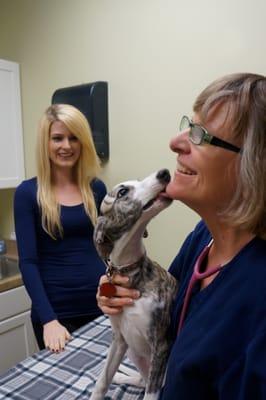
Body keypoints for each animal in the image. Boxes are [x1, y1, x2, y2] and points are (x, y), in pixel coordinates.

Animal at [90, 170, 178, 400]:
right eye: (122, 192)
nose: (165, 173)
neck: (131, 272)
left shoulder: (161, 344)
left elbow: (151, 394)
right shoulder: (119, 339)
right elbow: (102, 380)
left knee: (148, 382)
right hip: (131, 349)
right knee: (141, 379)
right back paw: (121, 376)